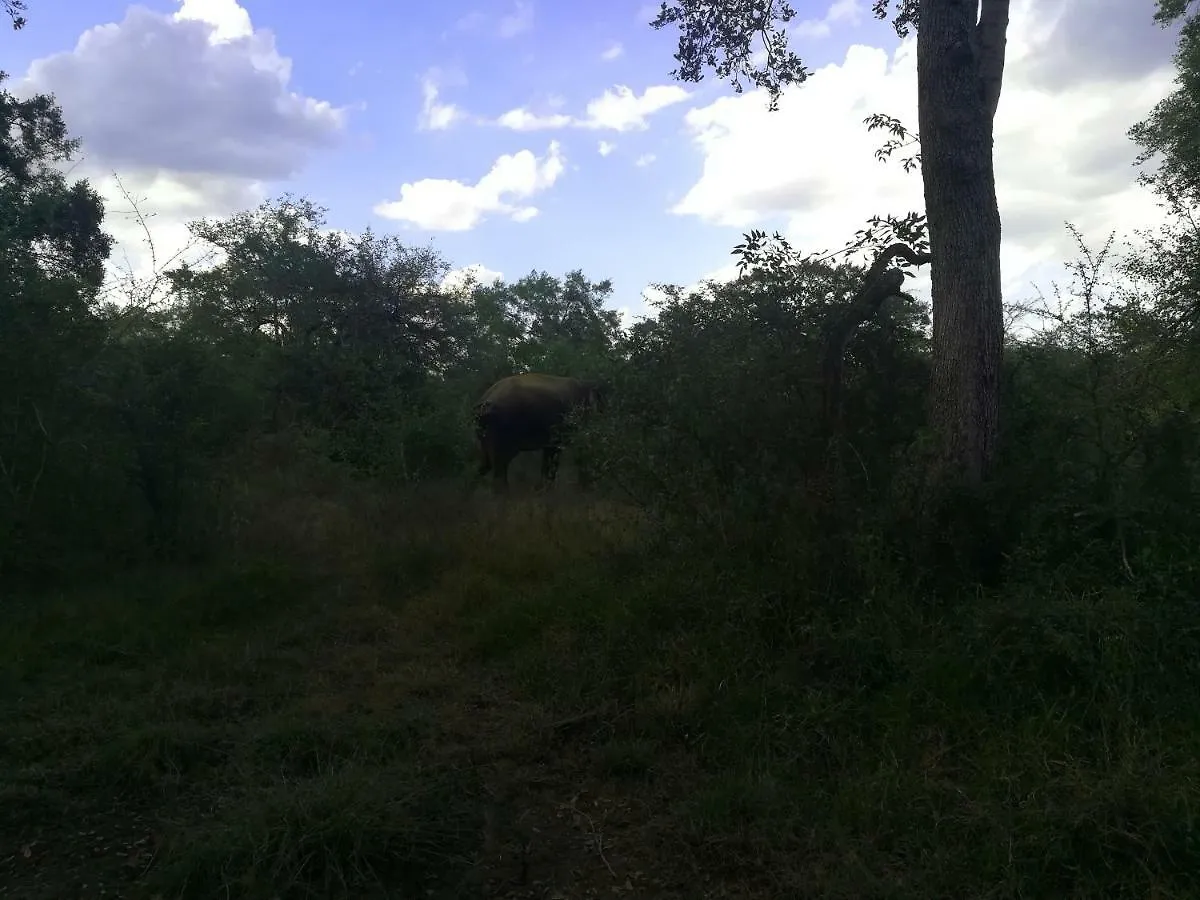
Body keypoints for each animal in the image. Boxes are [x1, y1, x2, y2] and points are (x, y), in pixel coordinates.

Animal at [472, 372, 604, 494]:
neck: (585, 384)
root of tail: (484, 401)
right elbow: (555, 452)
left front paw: (541, 490)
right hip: (504, 426)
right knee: (501, 462)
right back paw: (504, 495)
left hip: (484, 430)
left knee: (486, 462)